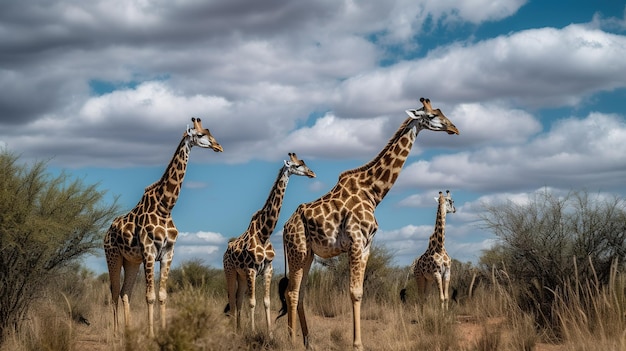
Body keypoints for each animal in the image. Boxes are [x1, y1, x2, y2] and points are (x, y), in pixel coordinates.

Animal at [105, 118, 224, 338]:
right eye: (200, 135)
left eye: (209, 132)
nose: (218, 147)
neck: (165, 207)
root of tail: (106, 232)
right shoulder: (149, 252)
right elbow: (149, 296)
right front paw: (152, 335)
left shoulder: (168, 253)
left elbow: (162, 295)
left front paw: (162, 332)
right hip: (113, 256)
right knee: (115, 291)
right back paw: (116, 333)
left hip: (131, 261)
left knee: (125, 292)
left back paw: (128, 331)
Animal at [222, 153, 314, 336]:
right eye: (297, 165)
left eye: (303, 162)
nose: (311, 173)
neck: (264, 233)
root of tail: (226, 250)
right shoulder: (251, 269)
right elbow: (252, 302)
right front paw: (252, 332)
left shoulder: (267, 269)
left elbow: (266, 302)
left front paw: (269, 334)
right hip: (230, 271)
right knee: (232, 298)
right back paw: (235, 331)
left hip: (241, 276)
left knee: (238, 299)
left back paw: (239, 329)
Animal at [278, 98, 458, 351]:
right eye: (432, 116)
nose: (454, 128)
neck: (373, 192)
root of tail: (285, 227)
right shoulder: (355, 241)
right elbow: (354, 292)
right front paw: (357, 344)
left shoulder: (366, 246)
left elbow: (360, 292)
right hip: (298, 250)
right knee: (292, 293)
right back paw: (292, 341)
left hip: (308, 254)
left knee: (300, 293)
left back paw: (307, 341)